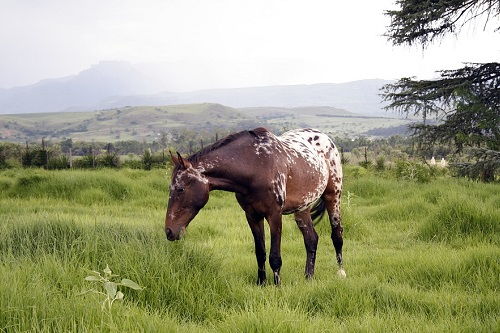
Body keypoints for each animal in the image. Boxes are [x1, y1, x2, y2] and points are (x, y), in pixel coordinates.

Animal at [164, 126, 344, 284]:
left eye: (180, 189)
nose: (169, 231)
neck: (257, 166)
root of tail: (325, 138)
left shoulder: (274, 215)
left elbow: (275, 257)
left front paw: (277, 286)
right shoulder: (252, 215)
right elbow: (260, 252)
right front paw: (262, 283)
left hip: (333, 196)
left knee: (337, 235)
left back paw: (341, 272)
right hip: (302, 208)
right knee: (311, 239)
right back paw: (308, 277)